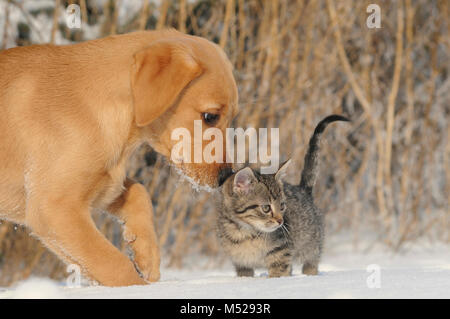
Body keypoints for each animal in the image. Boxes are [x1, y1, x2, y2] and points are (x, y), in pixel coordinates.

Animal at [0, 30, 239, 288]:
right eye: (210, 116)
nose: (227, 176)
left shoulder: (105, 183)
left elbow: (140, 193)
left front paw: (146, 255)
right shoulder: (54, 207)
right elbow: (111, 264)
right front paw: (140, 287)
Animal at [214, 115, 348, 278]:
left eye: (282, 206)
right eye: (266, 208)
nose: (280, 221)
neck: (244, 232)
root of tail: (304, 189)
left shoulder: (281, 250)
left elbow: (278, 273)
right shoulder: (241, 262)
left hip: (311, 245)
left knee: (311, 263)